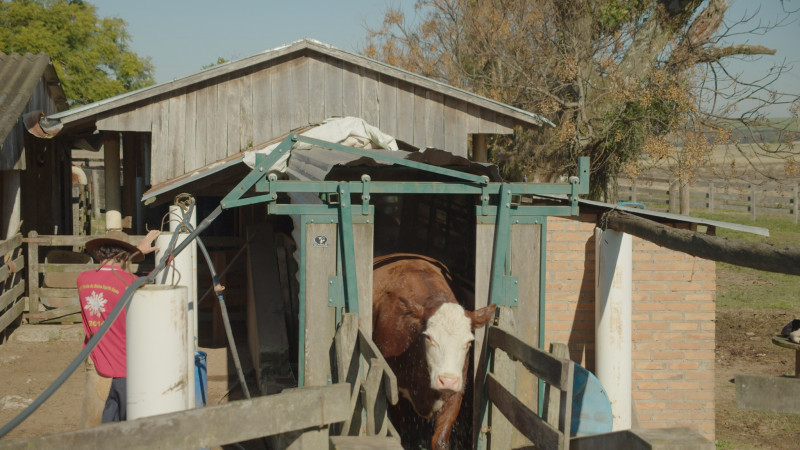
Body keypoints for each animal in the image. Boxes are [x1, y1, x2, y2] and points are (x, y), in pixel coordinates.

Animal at [374, 253, 496, 450]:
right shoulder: (394, 392)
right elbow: (405, 435)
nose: (447, 380)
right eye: (428, 337)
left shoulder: (456, 392)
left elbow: (440, 440)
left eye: (469, 342)